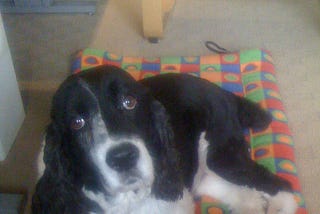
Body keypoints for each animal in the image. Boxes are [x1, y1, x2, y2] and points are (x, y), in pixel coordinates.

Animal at [33, 65, 298, 214]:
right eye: (77, 123)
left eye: (129, 102)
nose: (123, 157)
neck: (127, 202)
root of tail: (224, 94)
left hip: (222, 158)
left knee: (281, 186)